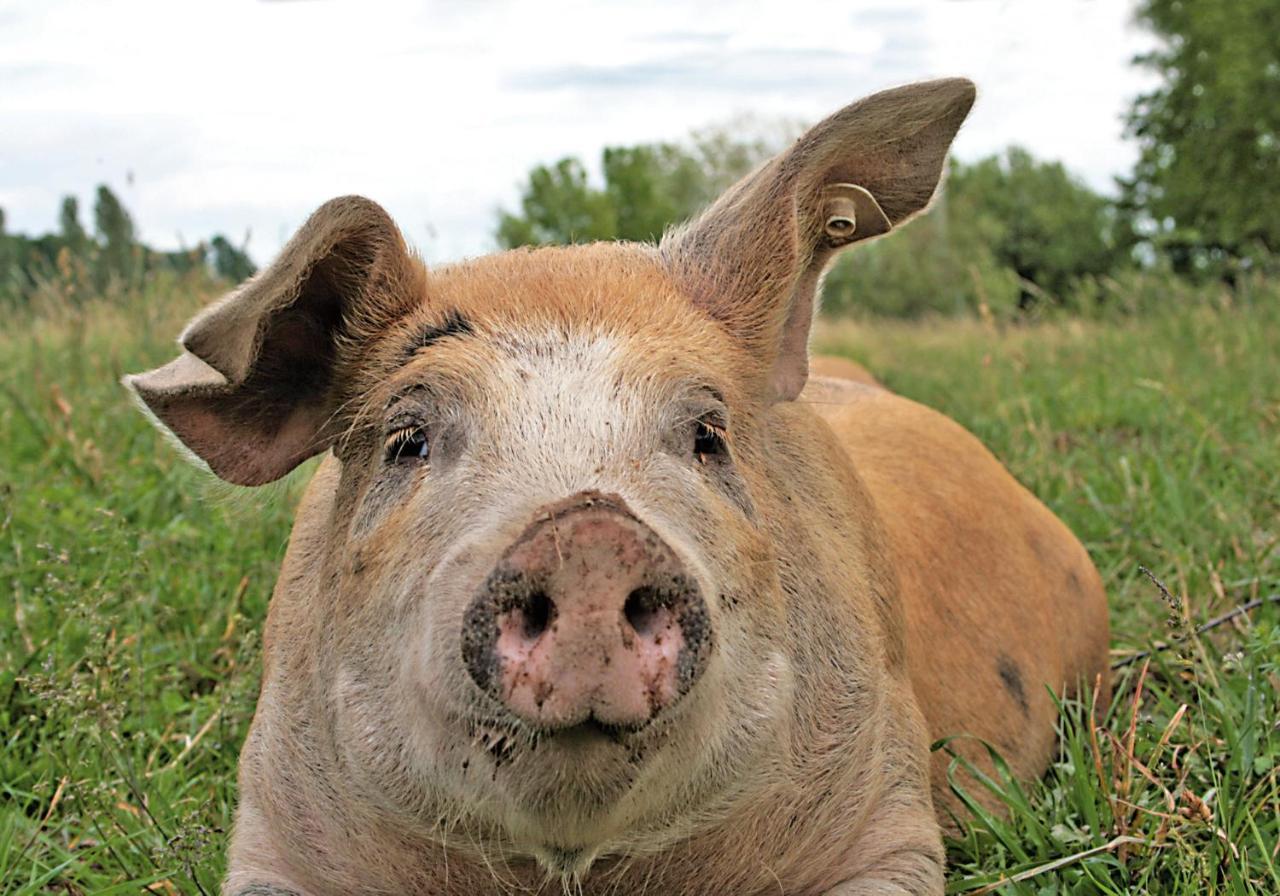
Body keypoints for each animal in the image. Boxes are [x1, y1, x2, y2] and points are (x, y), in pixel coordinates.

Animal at [127, 78, 1111, 896]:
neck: (574, 872)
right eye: (406, 441)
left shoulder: (888, 814)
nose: (587, 533)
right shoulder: (273, 825)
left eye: (709, 435)